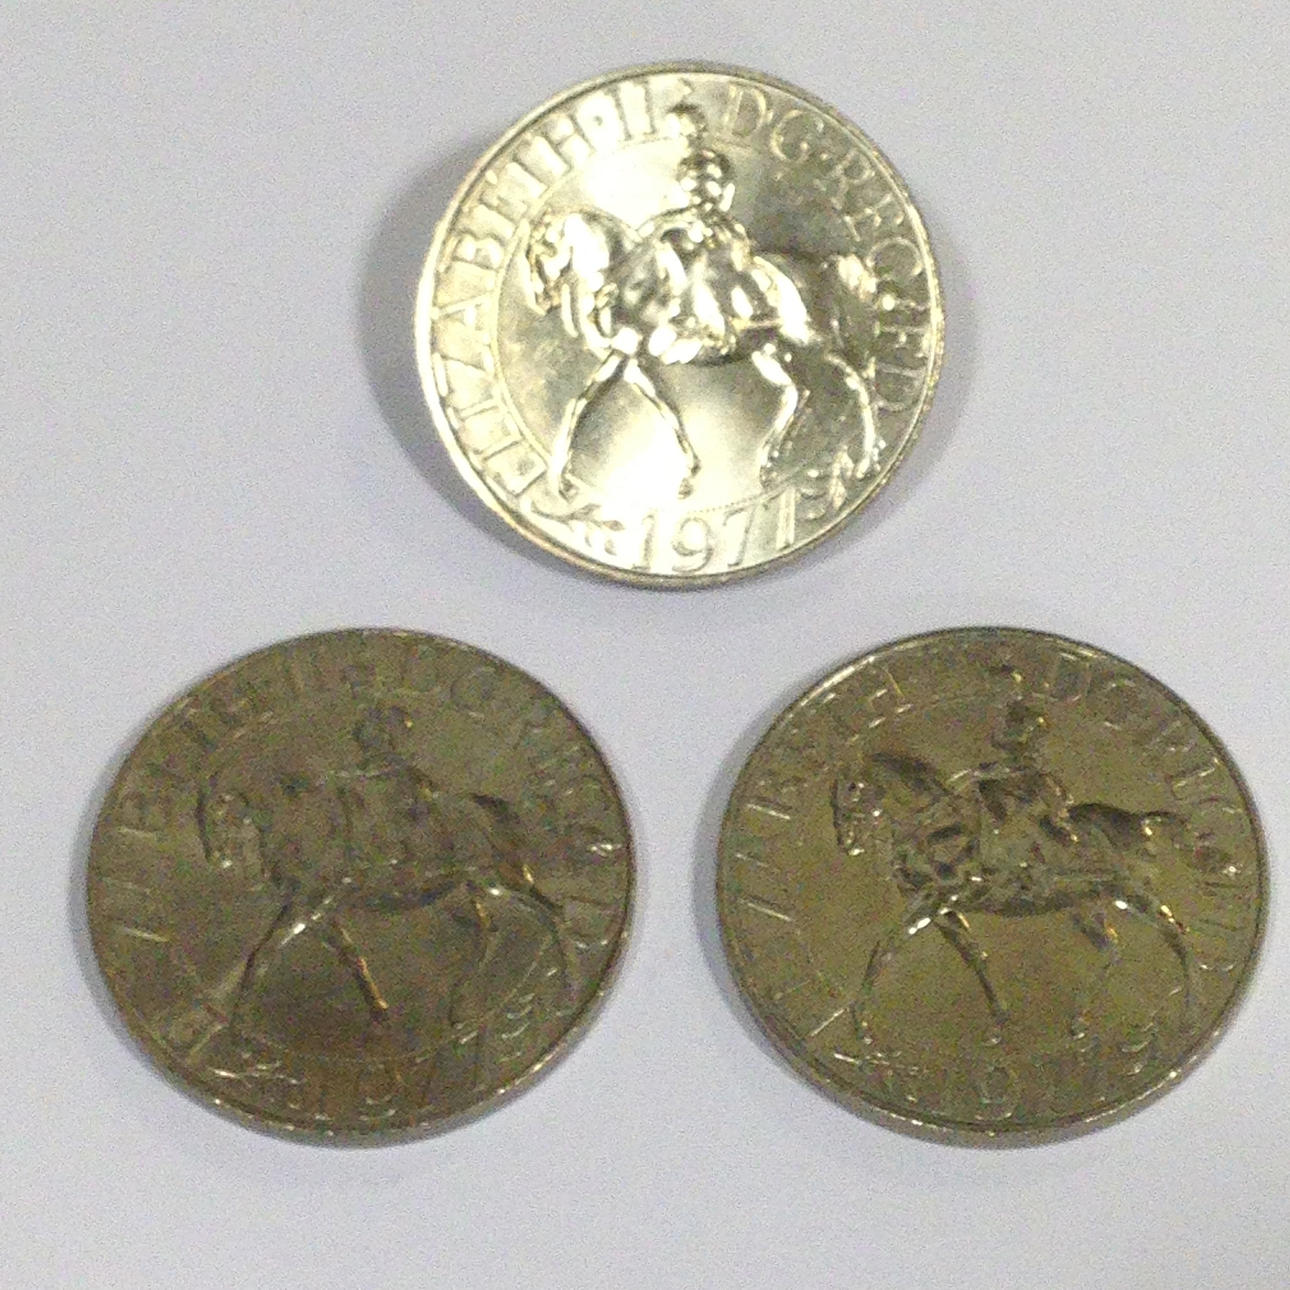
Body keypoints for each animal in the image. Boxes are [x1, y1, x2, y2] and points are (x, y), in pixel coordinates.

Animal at [197, 707, 576, 1035]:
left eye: (215, 810)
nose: (217, 858)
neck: (302, 824)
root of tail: (492, 808)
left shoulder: (307, 907)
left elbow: (262, 955)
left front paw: (240, 1026)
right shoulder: (320, 913)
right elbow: (350, 955)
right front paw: (379, 1015)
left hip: (494, 880)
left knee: (550, 914)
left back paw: (564, 996)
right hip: (469, 891)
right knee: (492, 931)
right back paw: (460, 1006)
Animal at [524, 207, 883, 498]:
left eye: (540, 251)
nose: (541, 300)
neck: (625, 279)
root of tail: (821, 266)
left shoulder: (621, 354)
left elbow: (580, 403)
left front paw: (561, 481)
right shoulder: (631, 363)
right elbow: (666, 408)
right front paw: (690, 472)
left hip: (813, 339)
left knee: (859, 381)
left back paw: (865, 461)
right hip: (765, 351)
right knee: (798, 391)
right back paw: (767, 459)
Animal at [830, 750, 1203, 1041]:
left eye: (852, 788)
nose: (846, 842)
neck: (935, 828)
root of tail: (1141, 821)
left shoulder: (933, 899)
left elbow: (885, 948)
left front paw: (860, 1023)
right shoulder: (944, 910)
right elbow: (974, 955)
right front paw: (998, 1022)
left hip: (1131, 892)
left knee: (1175, 935)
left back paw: (1190, 1014)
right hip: (1084, 907)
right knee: (1112, 948)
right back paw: (1078, 1020)